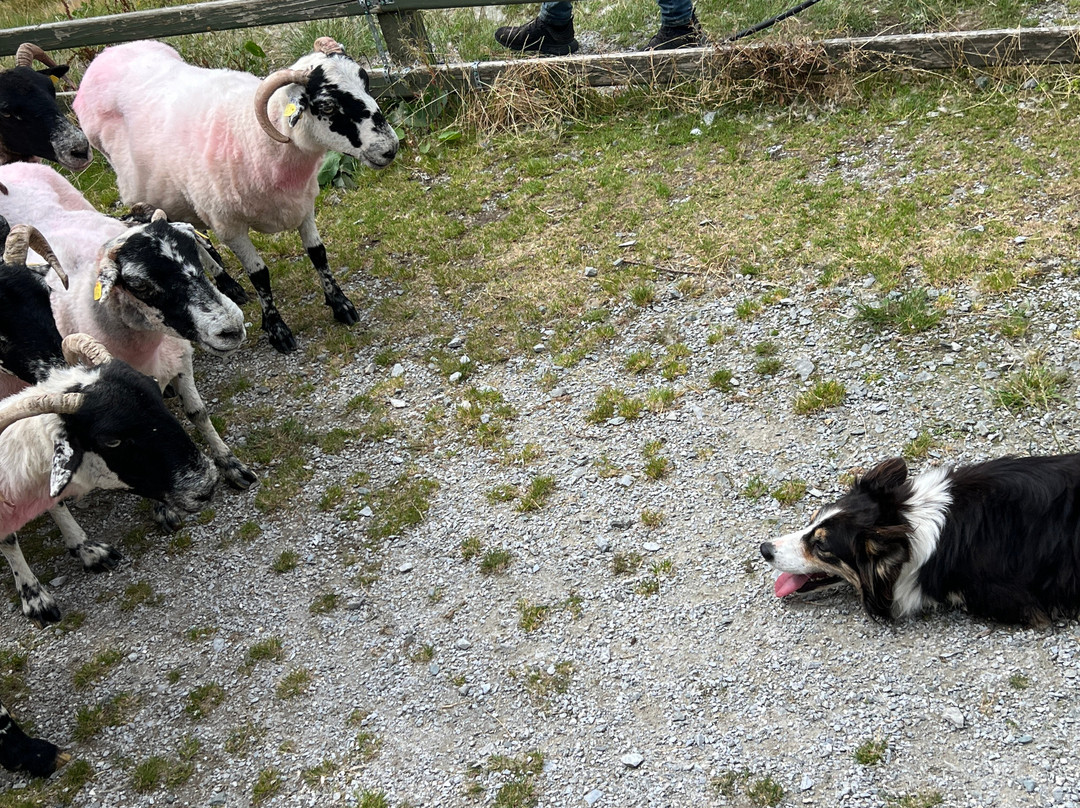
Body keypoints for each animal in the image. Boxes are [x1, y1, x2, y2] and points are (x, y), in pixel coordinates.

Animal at [0, 162, 255, 537]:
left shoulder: (180, 360)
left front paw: (231, 464)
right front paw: (163, 509)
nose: (231, 329)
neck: (148, 346)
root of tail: (12, 165)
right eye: (140, 285)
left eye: (198, 258)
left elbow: (198, 413)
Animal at [74, 37, 399, 353]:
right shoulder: (229, 226)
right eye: (327, 105)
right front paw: (277, 329)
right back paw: (225, 281)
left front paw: (340, 304)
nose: (389, 148)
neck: (257, 138)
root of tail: (108, 54)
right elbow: (260, 274)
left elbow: (319, 255)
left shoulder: (303, 206)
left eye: (365, 82)